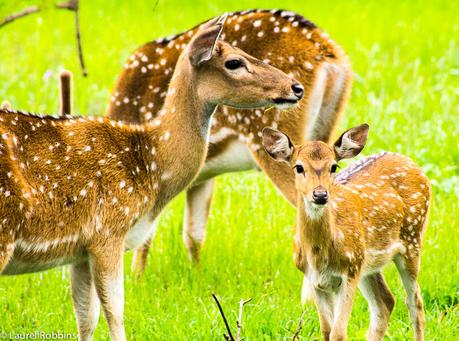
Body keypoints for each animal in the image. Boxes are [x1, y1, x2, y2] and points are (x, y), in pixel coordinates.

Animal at [0, 15, 306, 340]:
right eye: (234, 62)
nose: (296, 87)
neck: (150, 167)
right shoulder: (108, 230)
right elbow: (115, 312)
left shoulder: (80, 250)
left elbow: (85, 319)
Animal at [108, 7, 352, 270]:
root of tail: (330, 55)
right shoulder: (201, 177)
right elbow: (193, 235)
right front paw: (197, 274)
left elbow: (146, 238)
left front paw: (138, 277)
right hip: (323, 134)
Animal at [262, 124, 432, 340]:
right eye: (298, 167)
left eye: (334, 166)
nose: (320, 194)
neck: (319, 255)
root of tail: (412, 163)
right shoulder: (315, 279)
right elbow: (326, 331)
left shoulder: (349, 272)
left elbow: (338, 333)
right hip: (368, 264)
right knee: (385, 301)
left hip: (412, 240)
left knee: (415, 303)